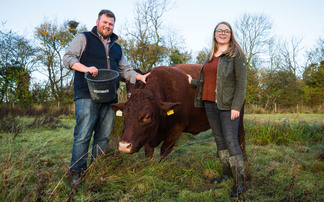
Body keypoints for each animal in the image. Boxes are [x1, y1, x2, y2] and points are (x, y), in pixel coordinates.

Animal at [110, 64, 244, 159]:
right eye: (124, 115)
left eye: (147, 116)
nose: (124, 146)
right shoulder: (148, 135)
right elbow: (148, 153)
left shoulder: (176, 130)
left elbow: (164, 151)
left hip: (237, 117)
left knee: (240, 137)